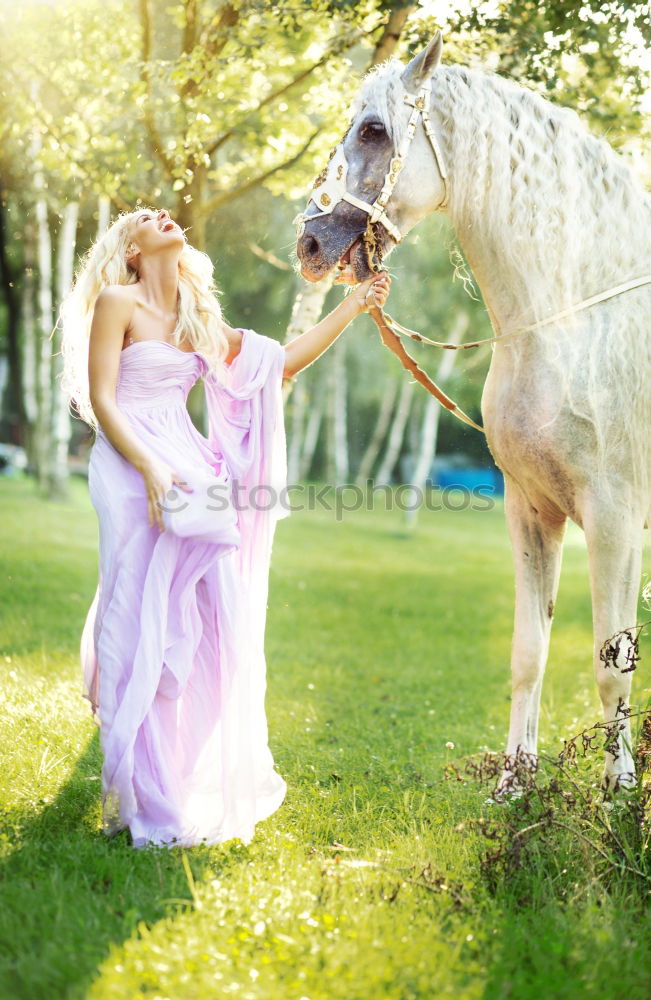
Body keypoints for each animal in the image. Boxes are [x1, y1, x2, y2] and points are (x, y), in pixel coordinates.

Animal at [296, 35, 651, 792]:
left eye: (374, 131)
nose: (310, 244)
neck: (571, 323)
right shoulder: (532, 511)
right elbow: (529, 654)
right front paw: (514, 783)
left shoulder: (613, 522)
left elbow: (611, 667)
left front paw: (616, 793)